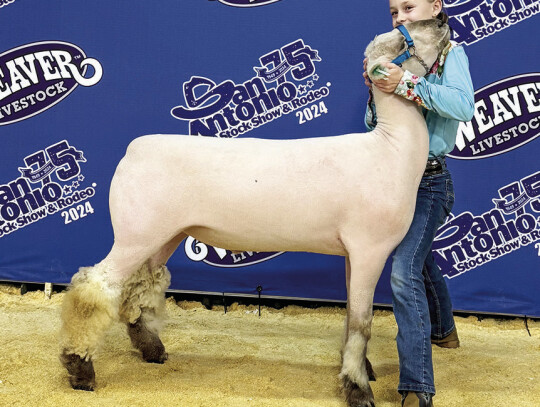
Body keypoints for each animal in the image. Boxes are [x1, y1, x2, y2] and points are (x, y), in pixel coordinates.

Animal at [59, 19, 450, 407]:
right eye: (402, 35)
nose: (442, 20)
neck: (391, 148)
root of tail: (134, 149)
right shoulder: (370, 248)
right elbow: (362, 323)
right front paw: (358, 389)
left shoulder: (353, 252)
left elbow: (352, 315)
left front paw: (359, 370)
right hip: (135, 232)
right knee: (94, 287)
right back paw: (80, 369)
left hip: (163, 234)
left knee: (142, 286)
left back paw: (153, 350)